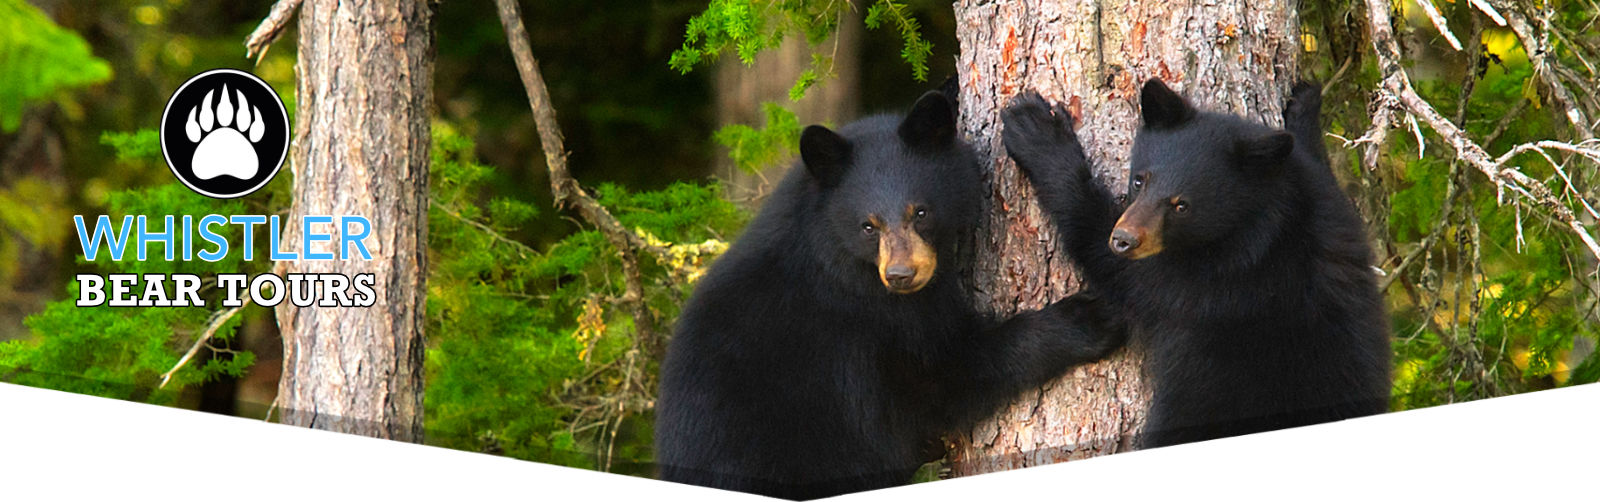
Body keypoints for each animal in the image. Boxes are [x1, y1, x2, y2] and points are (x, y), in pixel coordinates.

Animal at [655, 90, 1127, 499]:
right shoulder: (863, 335)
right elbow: (938, 377)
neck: (836, 254)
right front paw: (1085, 319)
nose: (901, 274)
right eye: (868, 225)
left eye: (921, 211)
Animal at [999, 80, 1392, 449]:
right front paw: (1304, 106)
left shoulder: (1226, 279)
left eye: (1181, 205)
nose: (1123, 239)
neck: (1264, 217)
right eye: (1140, 179)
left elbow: (1116, 263)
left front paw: (1036, 131)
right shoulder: (1329, 211)